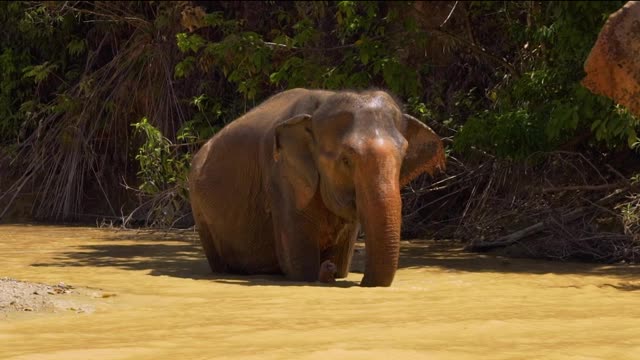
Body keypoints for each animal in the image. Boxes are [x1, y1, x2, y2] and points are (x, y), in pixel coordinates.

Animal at [188, 88, 442, 288]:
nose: (328, 268)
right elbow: (300, 268)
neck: (320, 106)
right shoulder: (282, 176)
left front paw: (336, 269)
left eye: (403, 157)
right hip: (200, 210)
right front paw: (322, 270)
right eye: (346, 160)